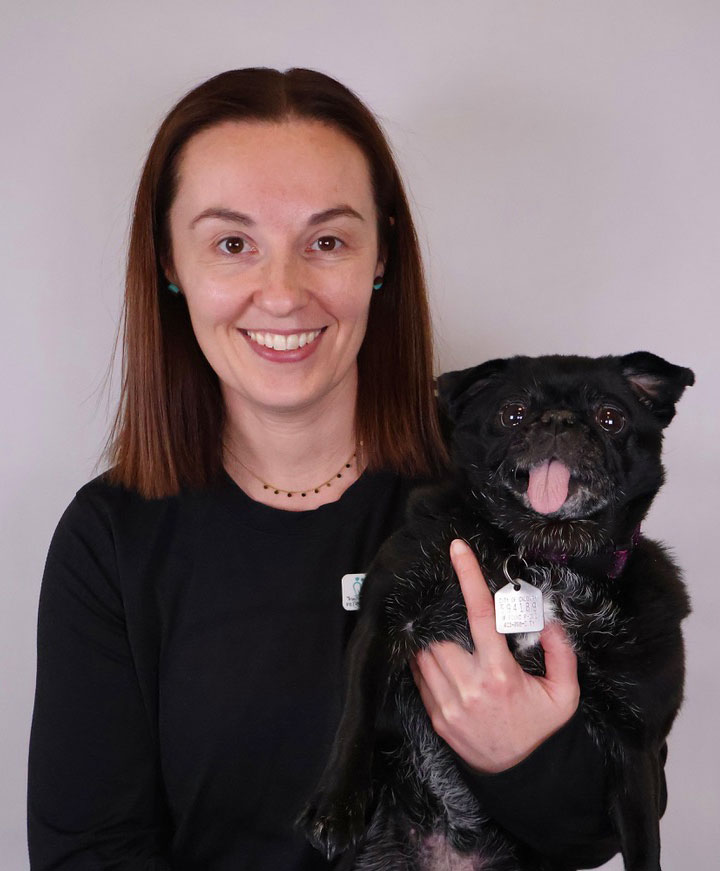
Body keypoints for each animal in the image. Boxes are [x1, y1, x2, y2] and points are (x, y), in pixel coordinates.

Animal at [300, 352, 694, 871]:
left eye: (612, 418)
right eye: (512, 414)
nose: (559, 420)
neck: (543, 558)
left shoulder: (636, 741)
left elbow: (645, 839)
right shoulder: (385, 617)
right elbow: (356, 718)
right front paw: (337, 808)